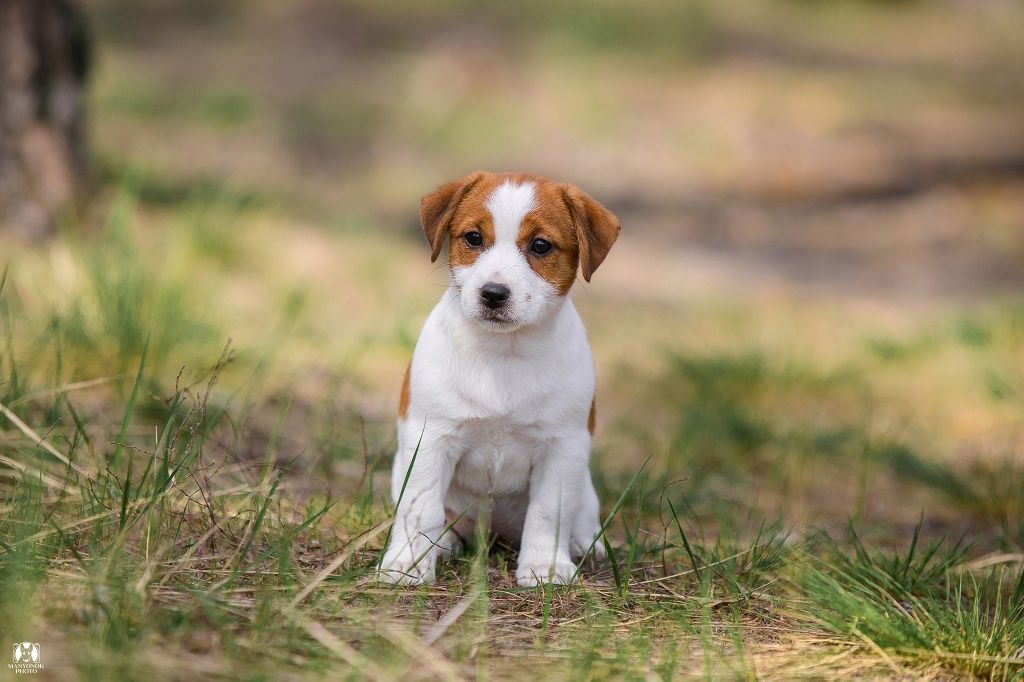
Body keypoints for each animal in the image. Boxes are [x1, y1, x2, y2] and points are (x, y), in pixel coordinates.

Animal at [380, 169, 618, 585]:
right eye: (474, 238)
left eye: (540, 245)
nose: (493, 293)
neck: (504, 353)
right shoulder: (431, 439)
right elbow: (420, 507)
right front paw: (407, 563)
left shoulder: (563, 447)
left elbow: (548, 512)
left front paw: (544, 567)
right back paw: (442, 543)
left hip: (584, 485)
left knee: (581, 516)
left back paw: (584, 545)